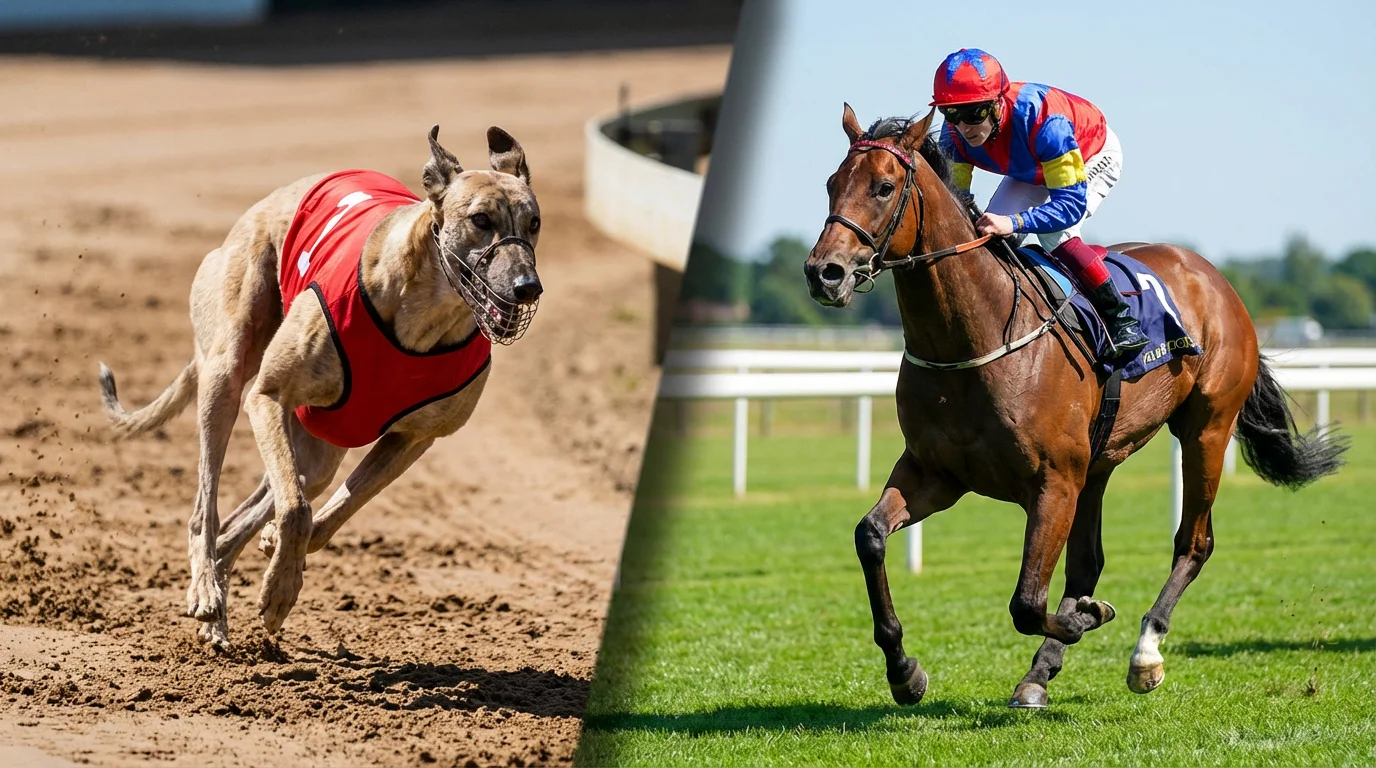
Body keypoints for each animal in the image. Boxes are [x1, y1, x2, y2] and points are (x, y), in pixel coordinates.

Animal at [803, 105, 1347, 708]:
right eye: (831, 183)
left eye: (883, 186)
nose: (824, 272)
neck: (972, 340)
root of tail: (1211, 275)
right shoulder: (936, 473)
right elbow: (871, 536)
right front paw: (904, 670)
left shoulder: (1053, 481)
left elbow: (1026, 603)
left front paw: (1093, 618)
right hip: (1099, 460)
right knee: (1088, 564)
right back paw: (1040, 673)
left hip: (1206, 429)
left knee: (1193, 542)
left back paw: (1144, 653)